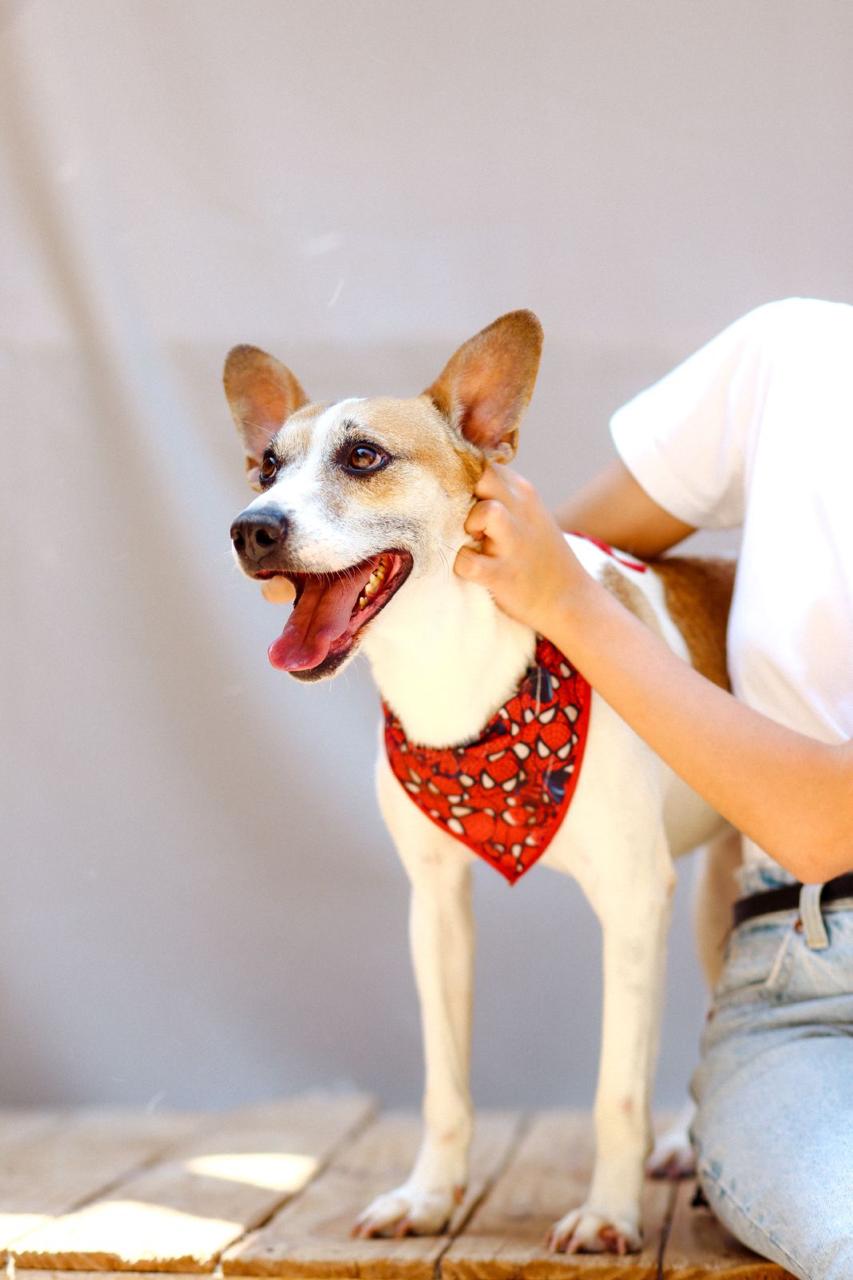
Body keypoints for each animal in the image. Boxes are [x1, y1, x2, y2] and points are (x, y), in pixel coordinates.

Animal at [222, 314, 732, 1254]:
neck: (448, 666)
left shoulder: (633, 902)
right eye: (267, 466)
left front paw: (606, 1214)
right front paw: (429, 1195)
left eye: (363, 457)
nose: (251, 529)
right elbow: (444, 1086)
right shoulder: (435, 906)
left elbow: (615, 1091)